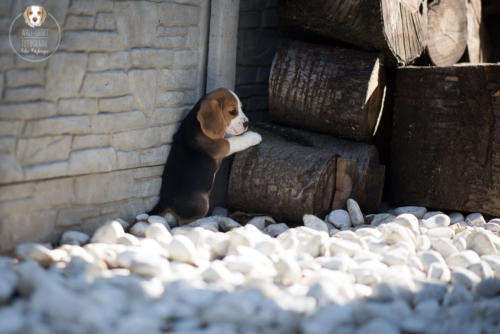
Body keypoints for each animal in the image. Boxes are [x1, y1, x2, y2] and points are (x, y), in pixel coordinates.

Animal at [147, 88, 262, 224]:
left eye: (241, 108)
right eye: (232, 111)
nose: (247, 123)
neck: (196, 122)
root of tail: (164, 201)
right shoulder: (220, 145)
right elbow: (235, 141)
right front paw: (253, 136)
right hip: (202, 204)